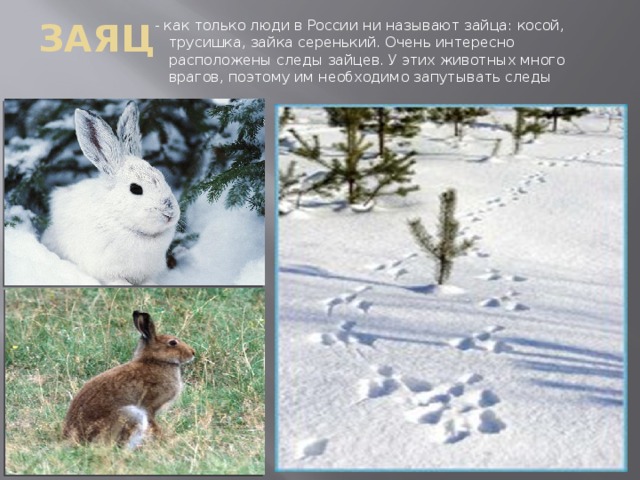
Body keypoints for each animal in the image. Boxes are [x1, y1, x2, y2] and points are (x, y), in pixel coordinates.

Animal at [62, 311, 196, 449]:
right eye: (173, 343)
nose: (193, 352)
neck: (156, 361)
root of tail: (76, 437)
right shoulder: (149, 406)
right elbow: (153, 423)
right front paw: (162, 438)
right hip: (132, 415)